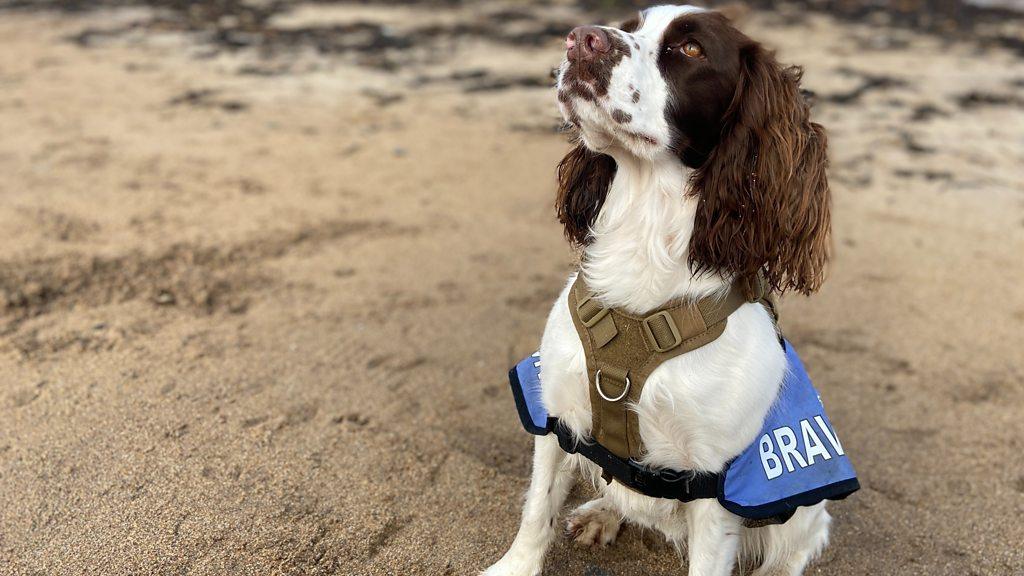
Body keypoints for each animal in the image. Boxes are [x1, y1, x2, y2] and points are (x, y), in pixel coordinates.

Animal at [483, 4, 835, 573]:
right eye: (629, 25)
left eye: (690, 49)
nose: (580, 39)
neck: (644, 242)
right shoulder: (555, 410)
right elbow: (537, 510)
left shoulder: (715, 483)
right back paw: (603, 513)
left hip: (803, 510)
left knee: (798, 544)